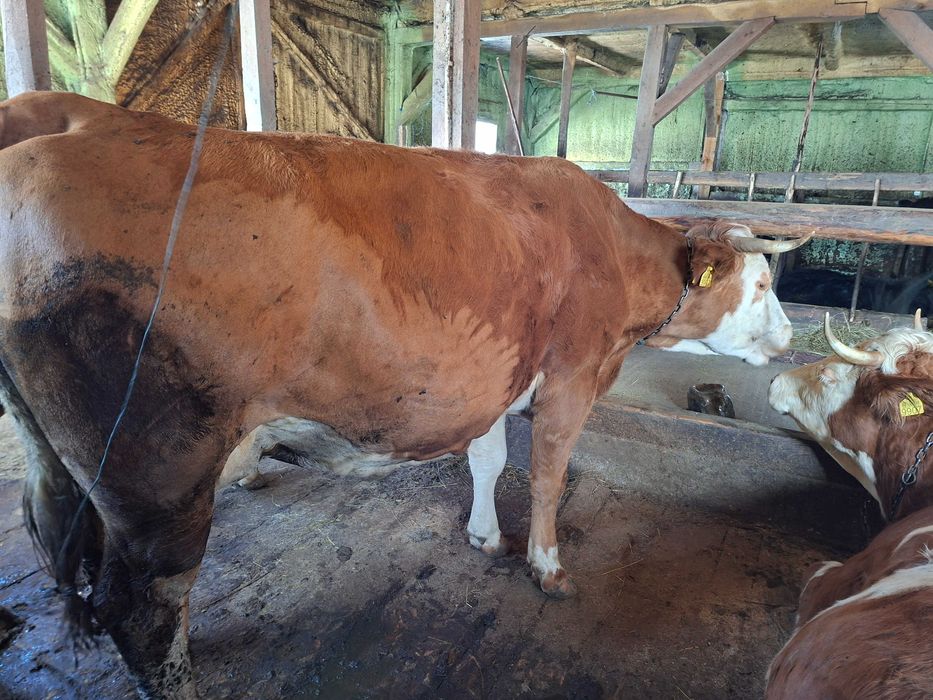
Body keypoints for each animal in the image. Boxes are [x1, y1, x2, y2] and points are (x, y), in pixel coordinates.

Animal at [0, 91, 808, 698]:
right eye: (761, 283)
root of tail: (66, 119)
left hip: (69, 463)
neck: (609, 248)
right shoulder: (574, 375)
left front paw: (484, 536)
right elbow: (547, 476)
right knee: (142, 606)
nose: (788, 334)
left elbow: (488, 460)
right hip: (157, 470)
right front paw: (546, 567)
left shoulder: (493, 375)